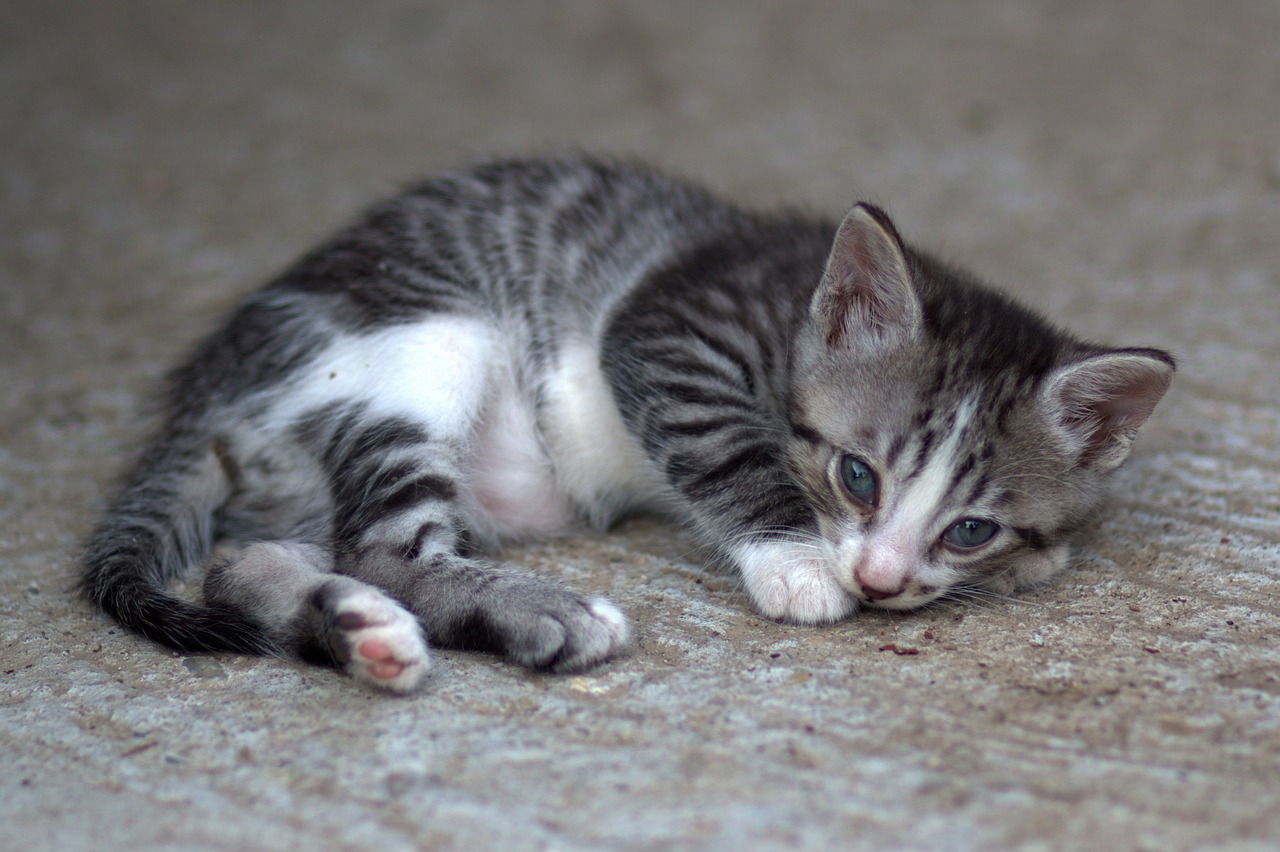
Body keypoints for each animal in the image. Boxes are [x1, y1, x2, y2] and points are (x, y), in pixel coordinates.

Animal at [85, 156, 1172, 690]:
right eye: (856, 476)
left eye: (970, 528)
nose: (878, 578)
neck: (794, 310)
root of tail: (206, 385)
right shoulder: (667, 328)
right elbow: (726, 448)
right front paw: (795, 561)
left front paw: (1030, 561)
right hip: (424, 341)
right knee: (385, 548)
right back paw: (539, 615)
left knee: (251, 565)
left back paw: (361, 633)